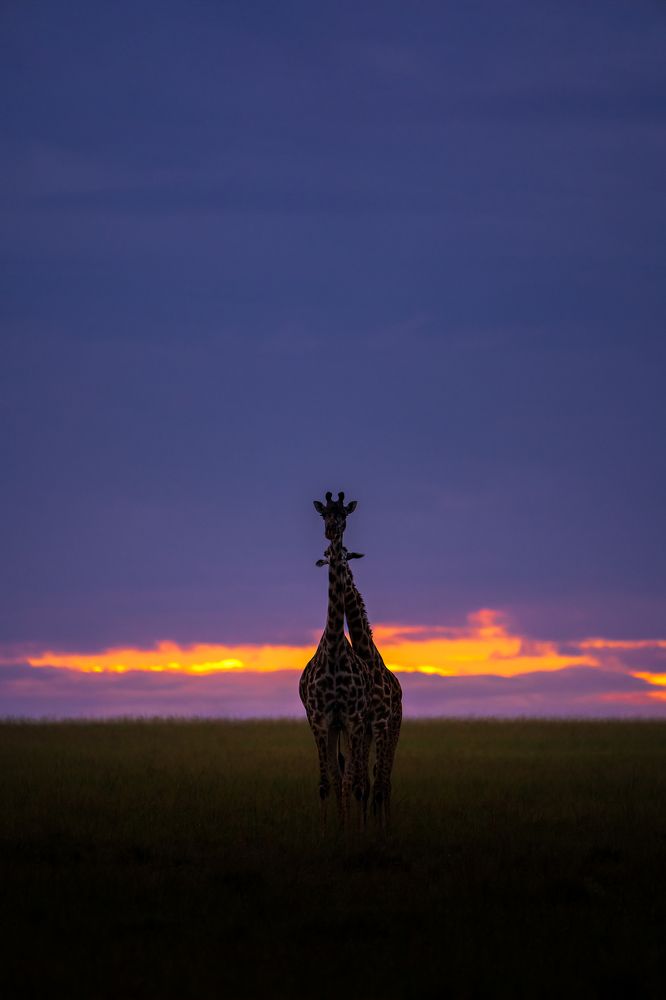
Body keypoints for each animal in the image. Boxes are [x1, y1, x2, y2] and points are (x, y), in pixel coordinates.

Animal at [317, 547, 402, 830]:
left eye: (347, 561)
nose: (341, 581)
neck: (367, 655)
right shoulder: (362, 725)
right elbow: (359, 781)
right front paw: (361, 825)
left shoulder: (378, 722)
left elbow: (374, 782)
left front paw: (376, 829)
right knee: (372, 778)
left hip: (393, 727)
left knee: (385, 780)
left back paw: (385, 823)